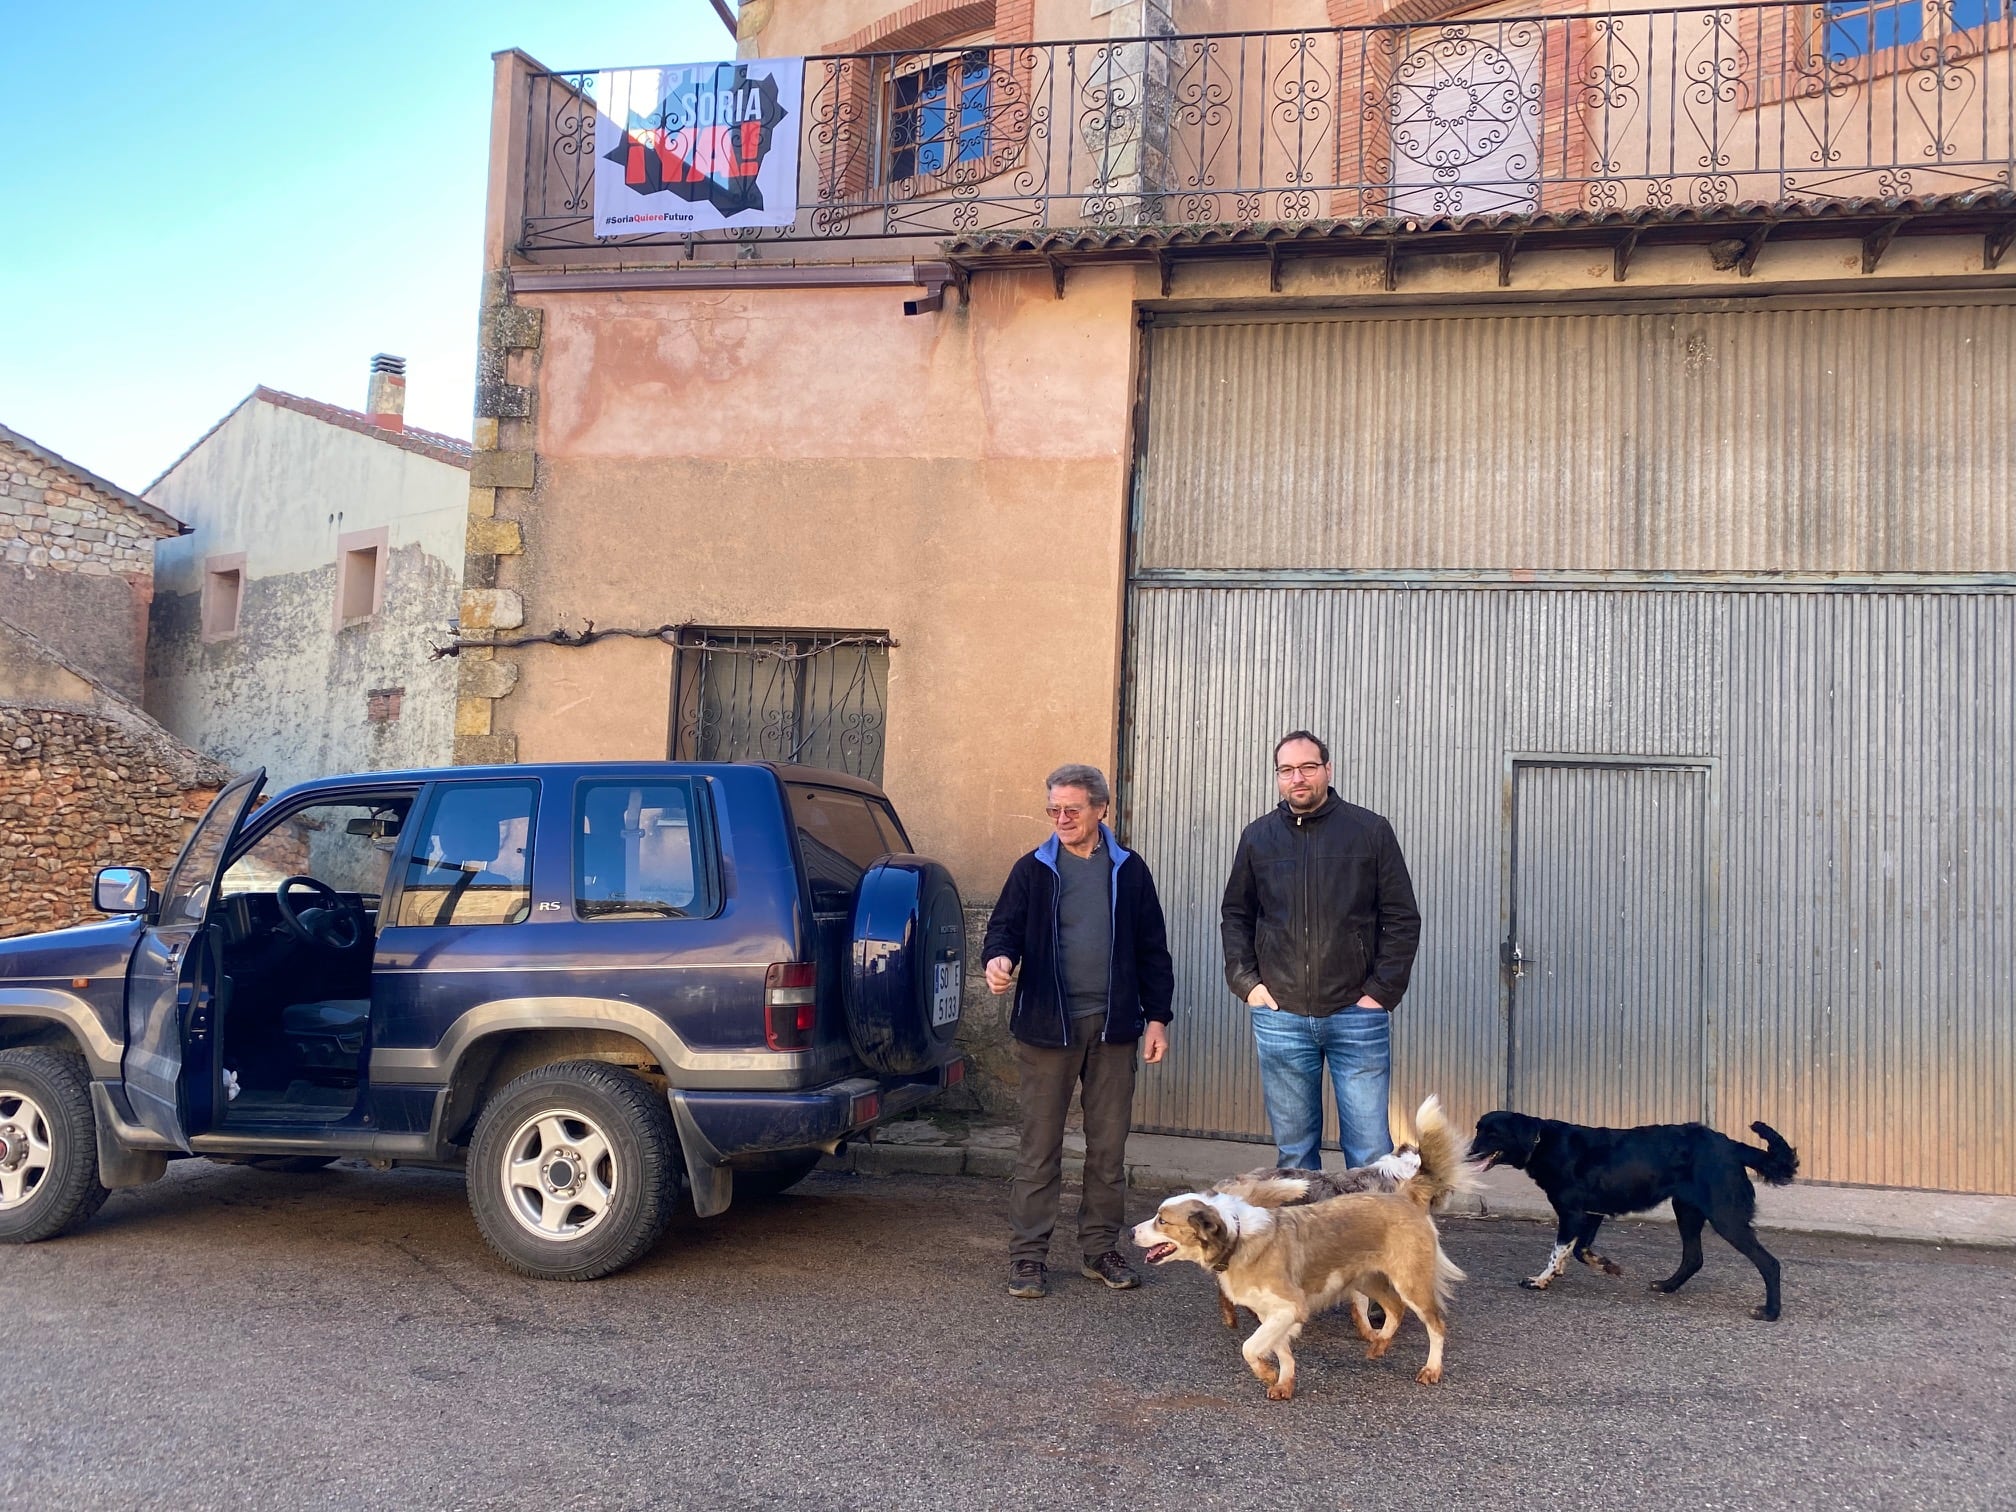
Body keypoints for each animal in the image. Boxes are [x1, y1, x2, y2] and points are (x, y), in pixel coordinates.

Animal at [1137, 1104, 1467, 1411]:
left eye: (1162, 1220)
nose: (1131, 1232)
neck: (1238, 1237)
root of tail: (1404, 1195)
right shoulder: (1276, 1312)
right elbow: (1279, 1351)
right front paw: (1282, 1381)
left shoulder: (1289, 1308)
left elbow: (1250, 1347)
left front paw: (1266, 1373)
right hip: (1367, 1278)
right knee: (1396, 1309)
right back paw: (1378, 1344)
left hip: (1409, 1281)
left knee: (1435, 1325)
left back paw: (1431, 1369)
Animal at [1467, 1112, 1798, 1322]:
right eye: (1478, 1129)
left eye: (1491, 1133)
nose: (1468, 1153)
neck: (1541, 1142)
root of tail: (1730, 1145)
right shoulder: (1591, 1214)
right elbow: (1580, 1251)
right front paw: (1605, 1265)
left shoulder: (1572, 1213)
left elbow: (1558, 1251)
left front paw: (1540, 1280)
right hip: (1687, 1211)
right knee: (1694, 1258)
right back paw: (1667, 1286)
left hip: (1724, 1216)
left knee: (1769, 1263)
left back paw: (1770, 1312)